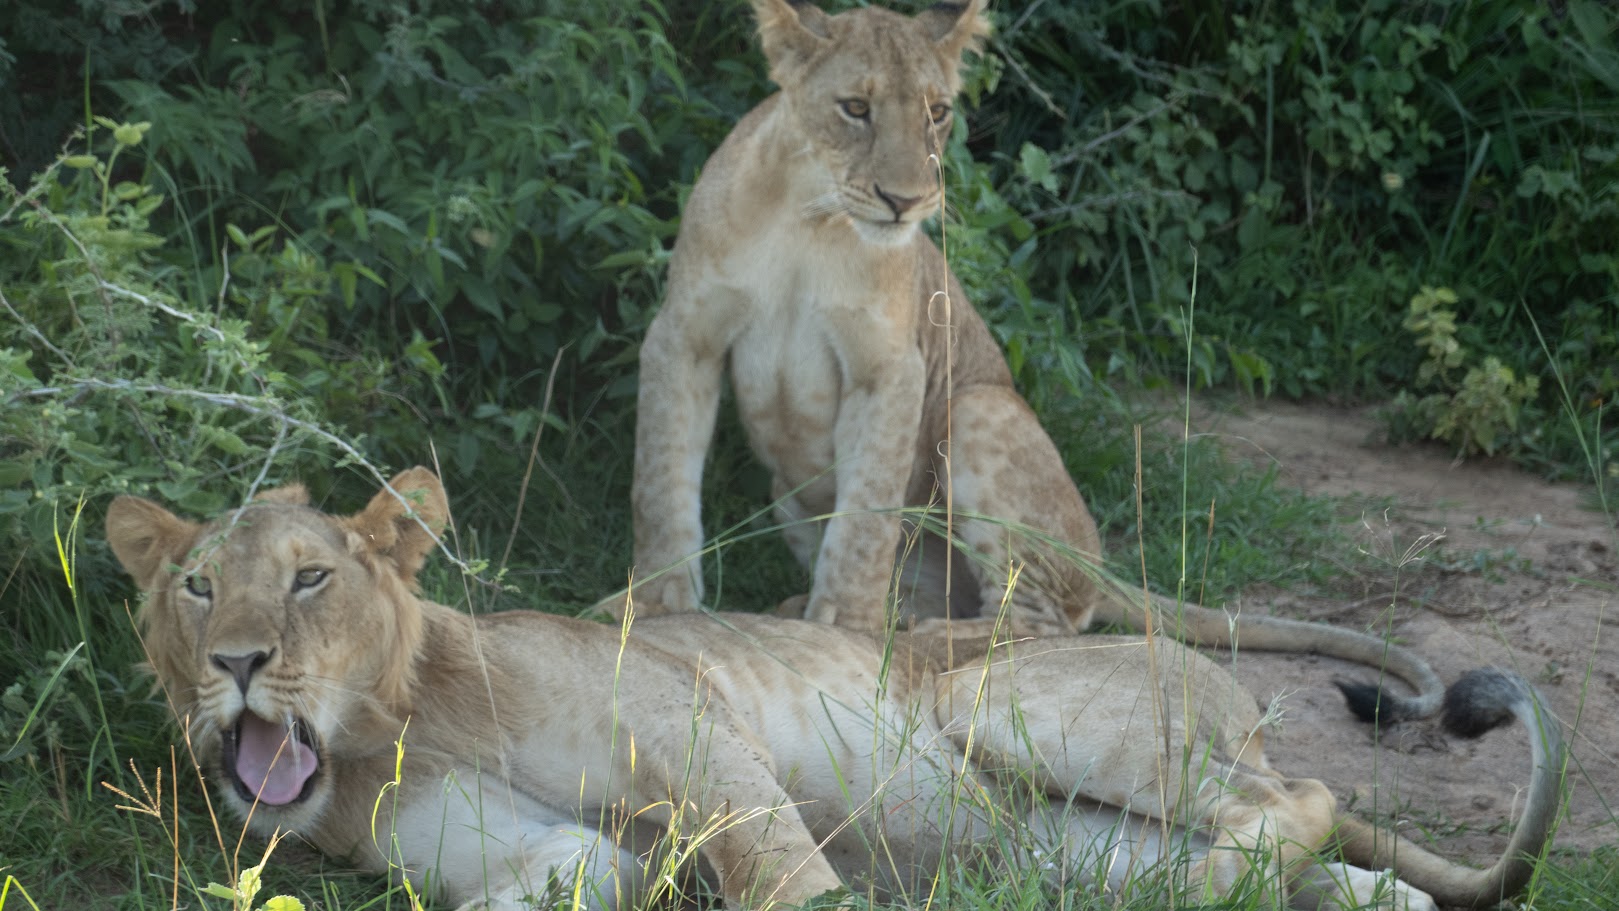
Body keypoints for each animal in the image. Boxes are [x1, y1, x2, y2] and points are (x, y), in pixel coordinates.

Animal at [107, 468, 1562, 910]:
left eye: (308, 577)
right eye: (197, 588)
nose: (238, 664)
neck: (395, 728)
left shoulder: (688, 726)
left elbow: (773, 862)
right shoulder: (550, 850)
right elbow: (560, 877)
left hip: (1004, 703)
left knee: (1296, 797)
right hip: (1064, 839)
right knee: (1309, 852)